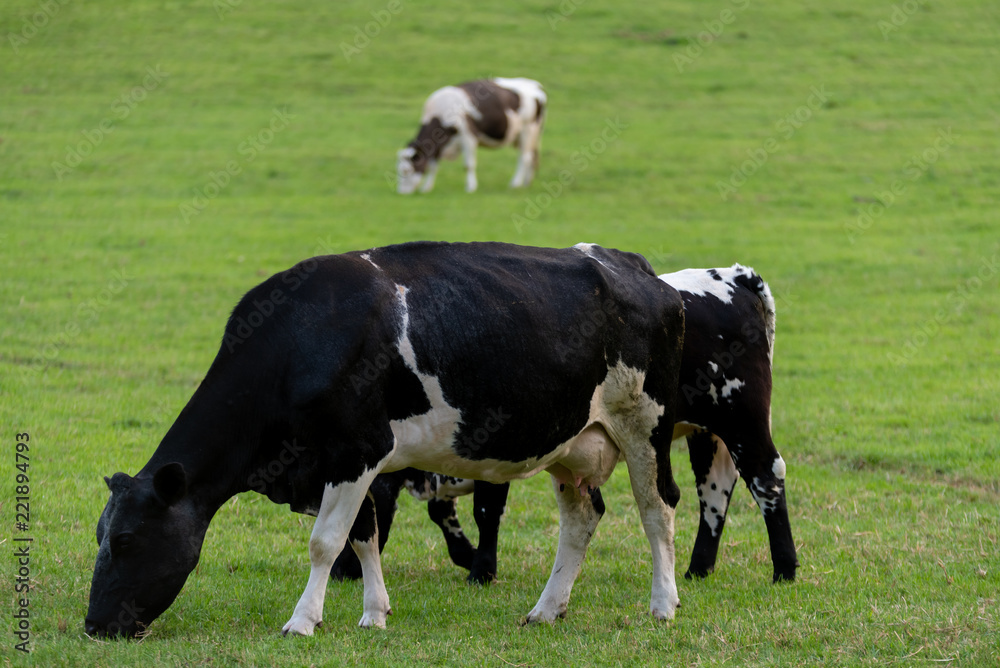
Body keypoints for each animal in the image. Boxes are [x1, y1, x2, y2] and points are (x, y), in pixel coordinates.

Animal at [86, 240, 688, 636]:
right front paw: (374, 613)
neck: (301, 340)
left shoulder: (355, 451)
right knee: (582, 518)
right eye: (101, 537)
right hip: (570, 444)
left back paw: (663, 604)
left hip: (644, 425)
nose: (94, 625)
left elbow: (326, 541)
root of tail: (630, 266)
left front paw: (302, 620)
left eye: (126, 541)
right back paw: (546, 608)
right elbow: (363, 537)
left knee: (657, 508)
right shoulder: (347, 465)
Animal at [332, 264, 800, 588]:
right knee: (715, 490)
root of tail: (731, 277)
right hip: (705, 431)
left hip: (741, 417)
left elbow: (485, 511)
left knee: (765, 477)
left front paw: (480, 569)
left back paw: (785, 569)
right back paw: (697, 569)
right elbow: (441, 509)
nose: (339, 572)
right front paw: (466, 555)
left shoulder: (494, 452)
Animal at [394, 78, 548, 194]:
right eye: (398, 169)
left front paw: (470, 187)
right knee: (532, 156)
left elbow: (469, 164)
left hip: (528, 130)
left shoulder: (468, 136)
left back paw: (515, 184)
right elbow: (433, 166)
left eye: (407, 170)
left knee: (525, 158)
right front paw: (426, 188)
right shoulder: (438, 145)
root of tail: (535, 85)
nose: (402, 192)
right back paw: (527, 183)